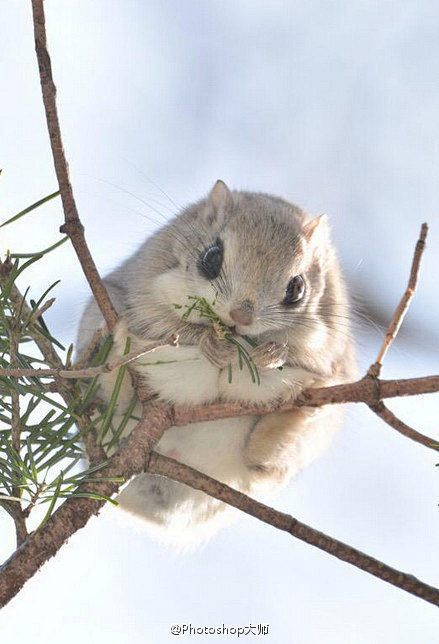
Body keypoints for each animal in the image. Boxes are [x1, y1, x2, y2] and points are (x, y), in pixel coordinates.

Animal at [76, 179, 358, 544]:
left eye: (297, 288)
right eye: (211, 257)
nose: (241, 317)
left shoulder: (328, 343)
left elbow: (305, 351)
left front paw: (271, 354)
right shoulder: (148, 291)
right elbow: (173, 327)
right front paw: (212, 344)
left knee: (261, 460)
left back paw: (301, 408)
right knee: (112, 402)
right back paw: (117, 349)